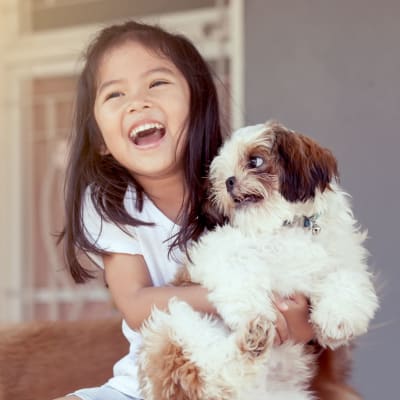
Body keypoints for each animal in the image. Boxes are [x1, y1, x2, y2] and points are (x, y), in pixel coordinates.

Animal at [138, 120, 378, 398]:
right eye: (221, 175)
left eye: (255, 161)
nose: (228, 181)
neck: (286, 226)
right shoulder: (216, 251)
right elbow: (241, 268)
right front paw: (252, 309)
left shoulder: (343, 259)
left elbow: (345, 279)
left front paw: (339, 318)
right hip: (173, 324)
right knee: (212, 373)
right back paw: (253, 336)